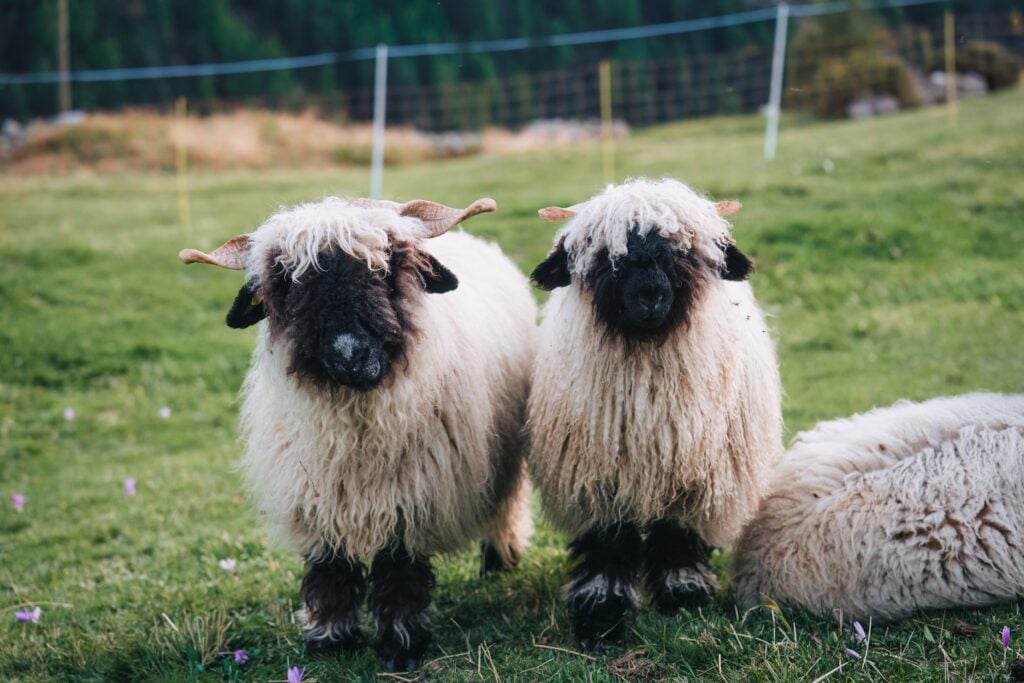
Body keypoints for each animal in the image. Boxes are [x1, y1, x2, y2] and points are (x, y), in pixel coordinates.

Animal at [179, 196, 535, 671]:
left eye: (385, 269)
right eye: (289, 286)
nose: (349, 354)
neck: (355, 429)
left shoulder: (409, 498)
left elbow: (398, 572)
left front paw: (401, 645)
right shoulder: (317, 498)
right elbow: (330, 568)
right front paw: (330, 638)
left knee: (507, 501)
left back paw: (499, 558)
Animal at [527, 178, 783, 649]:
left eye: (682, 253)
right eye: (606, 258)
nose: (650, 296)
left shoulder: (694, 475)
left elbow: (677, 535)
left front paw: (683, 597)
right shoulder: (598, 479)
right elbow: (607, 544)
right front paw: (601, 614)